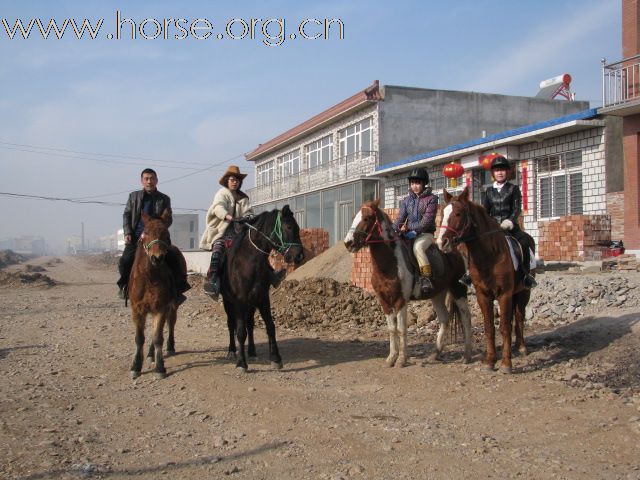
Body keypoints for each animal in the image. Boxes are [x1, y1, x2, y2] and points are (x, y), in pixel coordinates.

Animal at [126, 210, 184, 378]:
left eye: (166, 233)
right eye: (145, 233)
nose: (157, 258)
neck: (149, 278)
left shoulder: (160, 308)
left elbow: (158, 337)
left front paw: (160, 368)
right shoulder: (137, 309)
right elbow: (140, 338)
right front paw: (136, 367)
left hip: (172, 306)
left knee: (170, 323)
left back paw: (170, 347)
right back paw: (150, 354)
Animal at [220, 204, 304, 374]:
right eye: (289, 227)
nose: (299, 256)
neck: (249, 262)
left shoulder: (262, 298)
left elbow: (270, 327)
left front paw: (276, 359)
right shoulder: (239, 302)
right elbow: (240, 331)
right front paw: (241, 363)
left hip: (251, 305)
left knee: (250, 324)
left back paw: (252, 352)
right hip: (228, 302)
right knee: (231, 324)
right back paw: (232, 351)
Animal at [342, 199, 472, 368]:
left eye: (367, 218)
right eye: (354, 217)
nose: (348, 243)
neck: (389, 264)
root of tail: (456, 251)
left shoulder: (400, 301)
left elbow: (401, 328)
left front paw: (402, 359)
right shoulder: (384, 301)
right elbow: (392, 329)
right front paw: (391, 358)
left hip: (458, 290)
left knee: (466, 318)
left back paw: (467, 355)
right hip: (437, 294)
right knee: (444, 319)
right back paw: (435, 354)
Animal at [436, 186, 536, 374]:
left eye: (458, 213)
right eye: (443, 212)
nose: (441, 242)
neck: (490, 255)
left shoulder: (504, 294)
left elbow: (504, 327)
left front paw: (506, 364)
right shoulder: (483, 295)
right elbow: (489, 327)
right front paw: (490, 361)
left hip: (524, 292)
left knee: (519, 316)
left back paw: (521, 347)